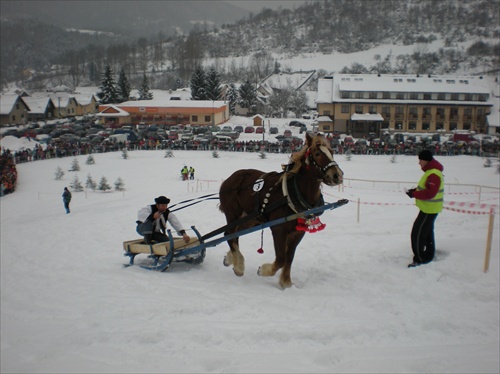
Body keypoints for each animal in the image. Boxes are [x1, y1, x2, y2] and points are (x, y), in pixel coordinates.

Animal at [220, 133, 344, 288]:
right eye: (317, 154)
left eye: (332, 152)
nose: (337, 175)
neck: (293, 193)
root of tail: (228, 180)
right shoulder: (278, 229)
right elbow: (280, 259)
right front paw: (264, 270)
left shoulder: (298, 233)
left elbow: (289, 257)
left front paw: (286, 282)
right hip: (233, 215)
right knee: (229, 234)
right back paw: (239, 266)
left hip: (250, 219)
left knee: (235, 234)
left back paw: (231, 258)